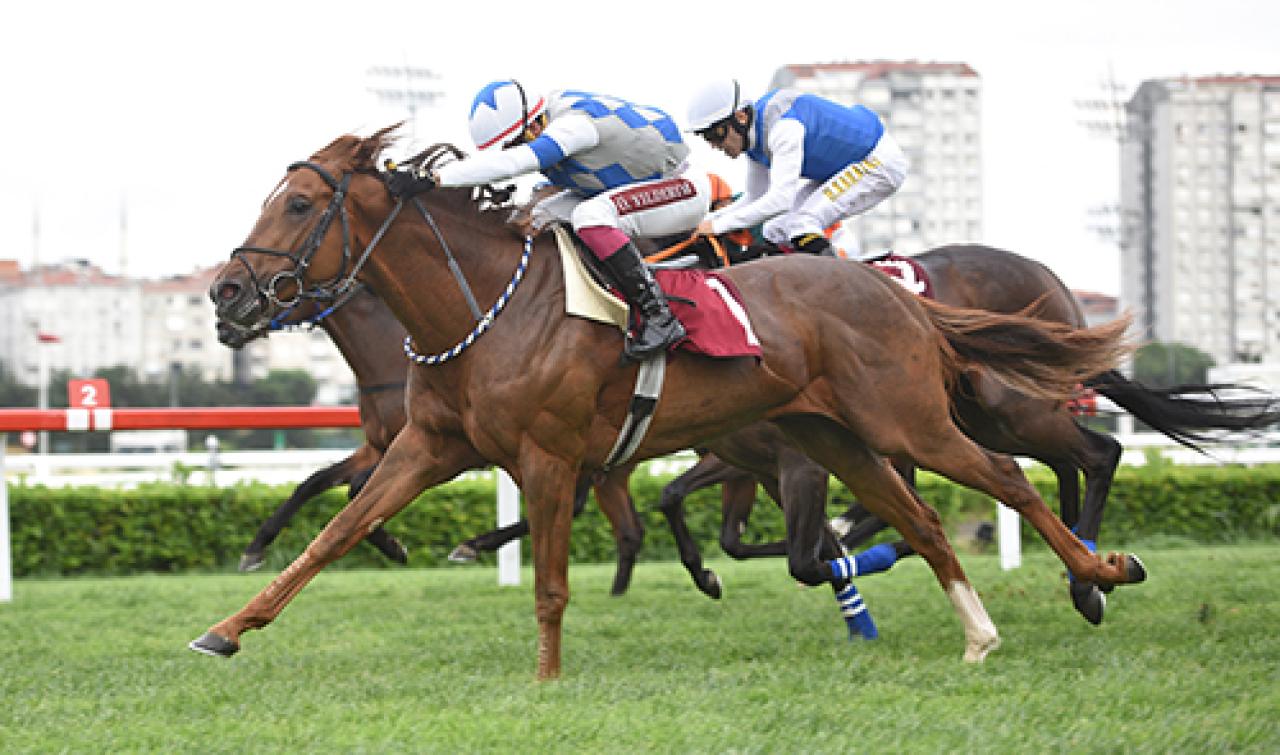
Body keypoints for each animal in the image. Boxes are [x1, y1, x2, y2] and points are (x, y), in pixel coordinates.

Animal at [202, 126, 1152, 680]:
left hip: (907, 419)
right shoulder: (428, 447)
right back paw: (981, 634)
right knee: (922, 519)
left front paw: (546, 680)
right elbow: (335, 530)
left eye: (297, 203)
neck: (483, 308)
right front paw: (229, 626)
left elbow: (550, 580)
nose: (226, 291)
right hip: (836, 438)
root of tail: (893, 290)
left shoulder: (550, 456)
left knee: (1017, 475)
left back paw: (1100, 573)